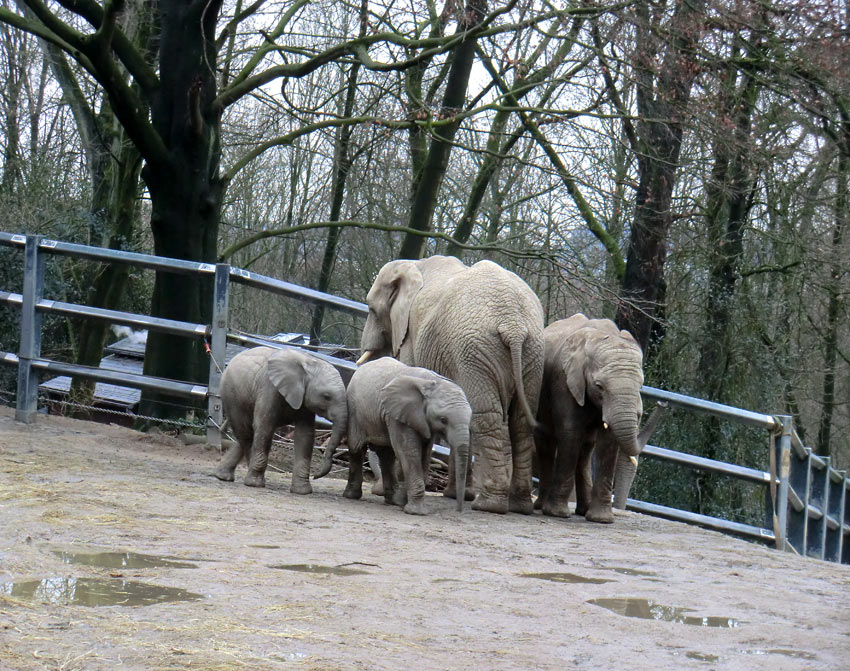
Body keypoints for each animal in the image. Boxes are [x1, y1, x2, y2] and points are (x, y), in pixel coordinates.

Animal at [215, 346, 348, 494]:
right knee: (246, 431)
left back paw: (223, 476)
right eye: (326, 396)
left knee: (246, 435)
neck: (309, 362)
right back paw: (250, 478)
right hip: (232, 397)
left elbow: (305, 435)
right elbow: (264, 427)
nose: (315, 476)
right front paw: (255, 484)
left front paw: (302, 491)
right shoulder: (269, 388)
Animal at [344, 360, 476, 516]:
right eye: (443, 420)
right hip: (355, 411)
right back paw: (351, 496)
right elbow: (410, 451)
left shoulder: (422, 421)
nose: (458, 510)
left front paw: (405, 504)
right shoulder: (398, 413)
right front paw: (417, 512)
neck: (433, 382)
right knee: (357, 448)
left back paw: (393, 500)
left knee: (387, 455)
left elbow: (424, 454)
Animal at [536, 316, 664, 524]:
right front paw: (557, 514)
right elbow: (570, 433)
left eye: (641, 386)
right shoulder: (565, 382)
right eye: (599, 386)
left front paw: (601, 519)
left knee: (585, 450)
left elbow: (608, 442)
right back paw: (541, 506)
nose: (663, 403)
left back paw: (582, 511)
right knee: (546, 442)